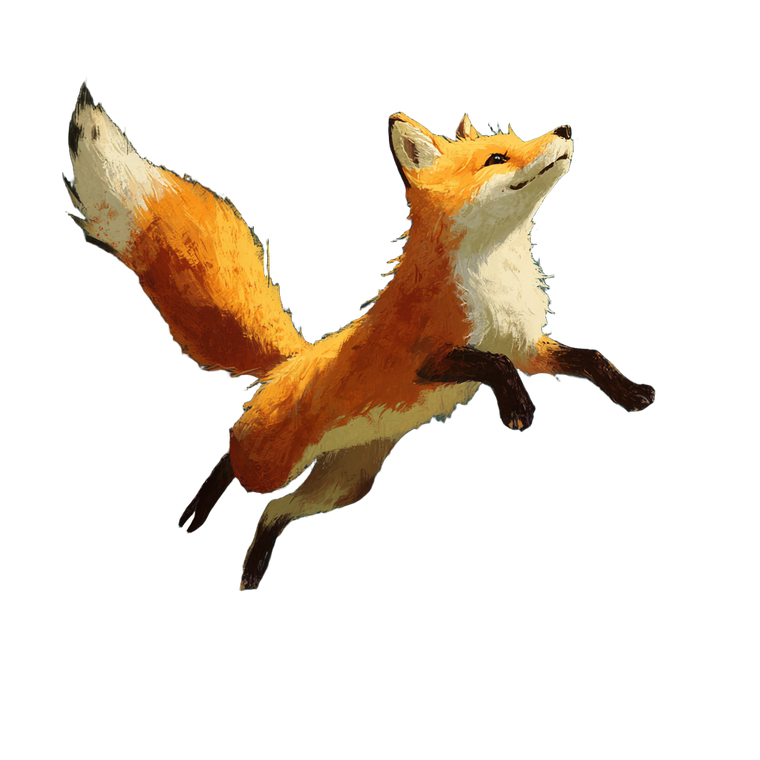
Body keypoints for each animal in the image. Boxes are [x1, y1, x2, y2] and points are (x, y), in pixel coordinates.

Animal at [62, 81, 657, 590]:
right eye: (496, 158)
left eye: (516, 143)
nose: (564, 128)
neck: (496, 278)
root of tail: (289, 362)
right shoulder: (426, 360)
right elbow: (489, 364)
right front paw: (516, 407)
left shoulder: (529, 346)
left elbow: (588, 357)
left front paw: (631, 395)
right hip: (271, 462)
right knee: (234, 460)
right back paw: (194, 515)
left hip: (343, 484)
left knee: (275, 512)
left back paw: (251, 572)